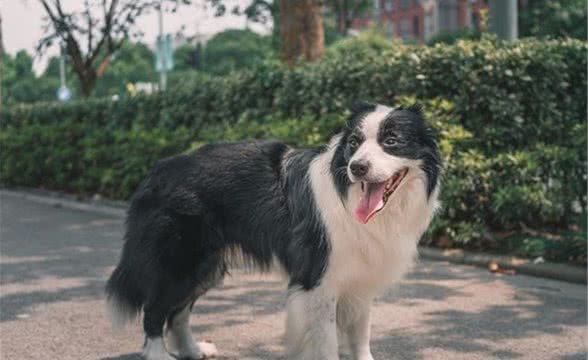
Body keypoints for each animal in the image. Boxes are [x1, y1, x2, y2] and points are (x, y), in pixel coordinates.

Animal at [107, 101, 440, 360]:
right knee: (155, 310)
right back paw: (160, 354)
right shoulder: (318, 279)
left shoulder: (362, 276)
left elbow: (360, 335)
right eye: (353, 144)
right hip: (181, 259)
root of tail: (157, 170)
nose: (356, 167)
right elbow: (326, 340)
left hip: (207, 265)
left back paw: (193, 350)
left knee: (178, 312)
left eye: (391, 141)